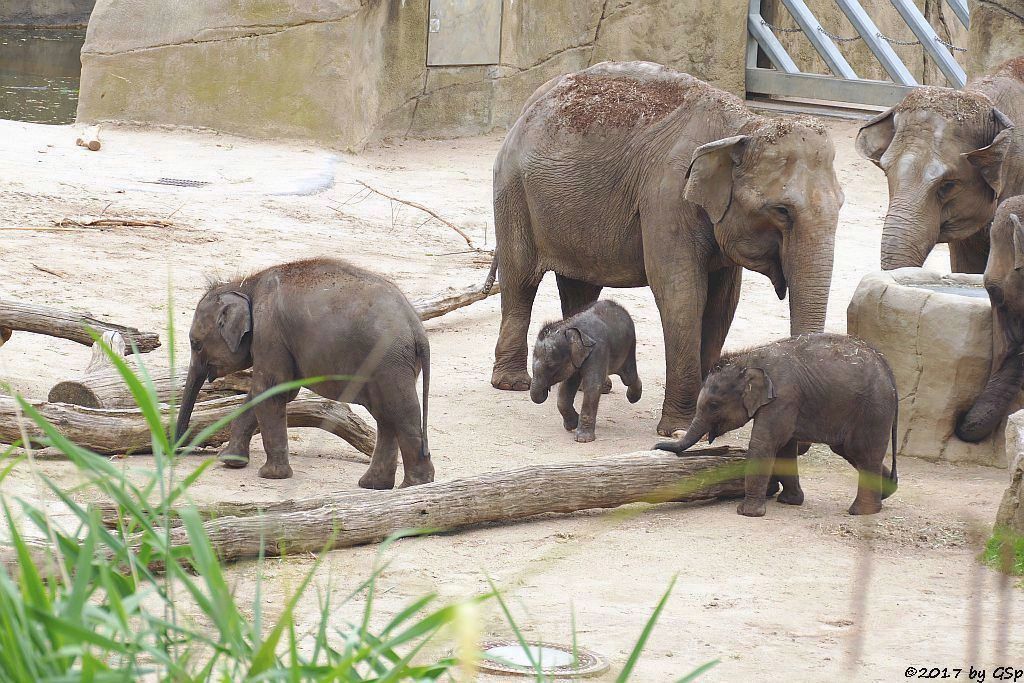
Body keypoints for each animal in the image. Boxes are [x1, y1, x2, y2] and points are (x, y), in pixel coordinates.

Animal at [176, 254, 432, 485]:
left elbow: (270, 390)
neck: (246, 284)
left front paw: (270, 475)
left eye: (195, 344)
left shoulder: (269, 331)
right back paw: (374, 485)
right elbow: (274, 392)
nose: (177, 450)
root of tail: (417, 328)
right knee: (385, 414)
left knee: (400, 411)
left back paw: (415, 485)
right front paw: (230, 461)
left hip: (388, 361)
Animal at [528, 301, 638, 444]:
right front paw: (572, 425)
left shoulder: (598, 350)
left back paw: (633, 398)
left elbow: (593, 386)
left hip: (629, 346)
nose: (546, 389)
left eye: (551, 366)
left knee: (629, 377)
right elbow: (566, 387)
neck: (569, 327)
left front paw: (583, 439)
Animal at [655, 331, 897, 518]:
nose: (656, 445)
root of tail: (890, 373)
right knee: (850, 451)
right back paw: (887, 493)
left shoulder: (783, 397)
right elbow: (785, 448)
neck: (750, 358)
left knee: (862, 452)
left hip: (873, 410)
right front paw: (790, 501)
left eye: (713, 405)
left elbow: (764, 444)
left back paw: (861, 511)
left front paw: (747, 513)